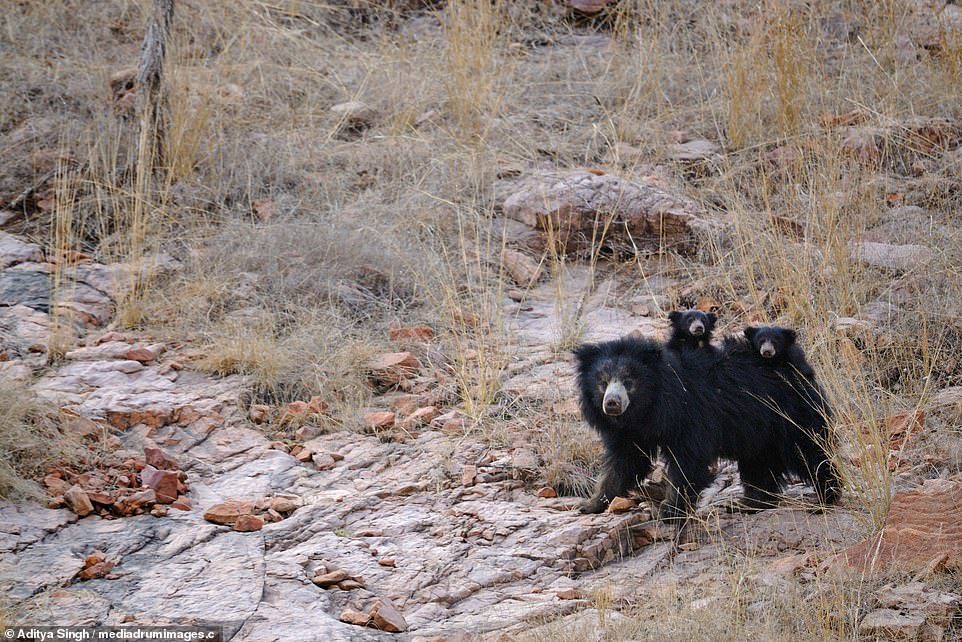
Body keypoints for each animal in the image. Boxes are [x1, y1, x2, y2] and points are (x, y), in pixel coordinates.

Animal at [572, 336, 836, 520]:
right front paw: (589, 505)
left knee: (809, 450)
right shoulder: (630, 432)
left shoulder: (690, 415)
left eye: (629, 381)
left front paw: (668, 510)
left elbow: (687, 461)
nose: (612, 404)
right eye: (602, 382)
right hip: (758, 431)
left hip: (789, 414)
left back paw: (824, 497)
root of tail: (798, 364)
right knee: (758, 464)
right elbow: (624, 461)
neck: (648, 409)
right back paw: (748, 503)